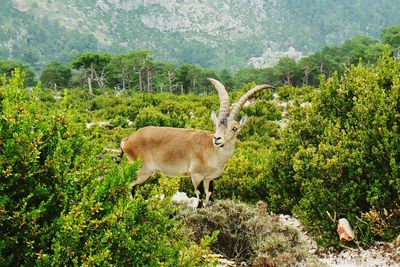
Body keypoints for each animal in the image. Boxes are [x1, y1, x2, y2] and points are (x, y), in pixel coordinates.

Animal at [120, 78, 274, 208]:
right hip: (142, 171)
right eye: (216, 124)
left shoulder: (209, 179)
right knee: (128, 185)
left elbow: (209, 196)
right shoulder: (196, 176)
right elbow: (199, 199)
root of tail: (127, 141)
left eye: (234, 128)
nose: (217, 139)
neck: (213, 152)